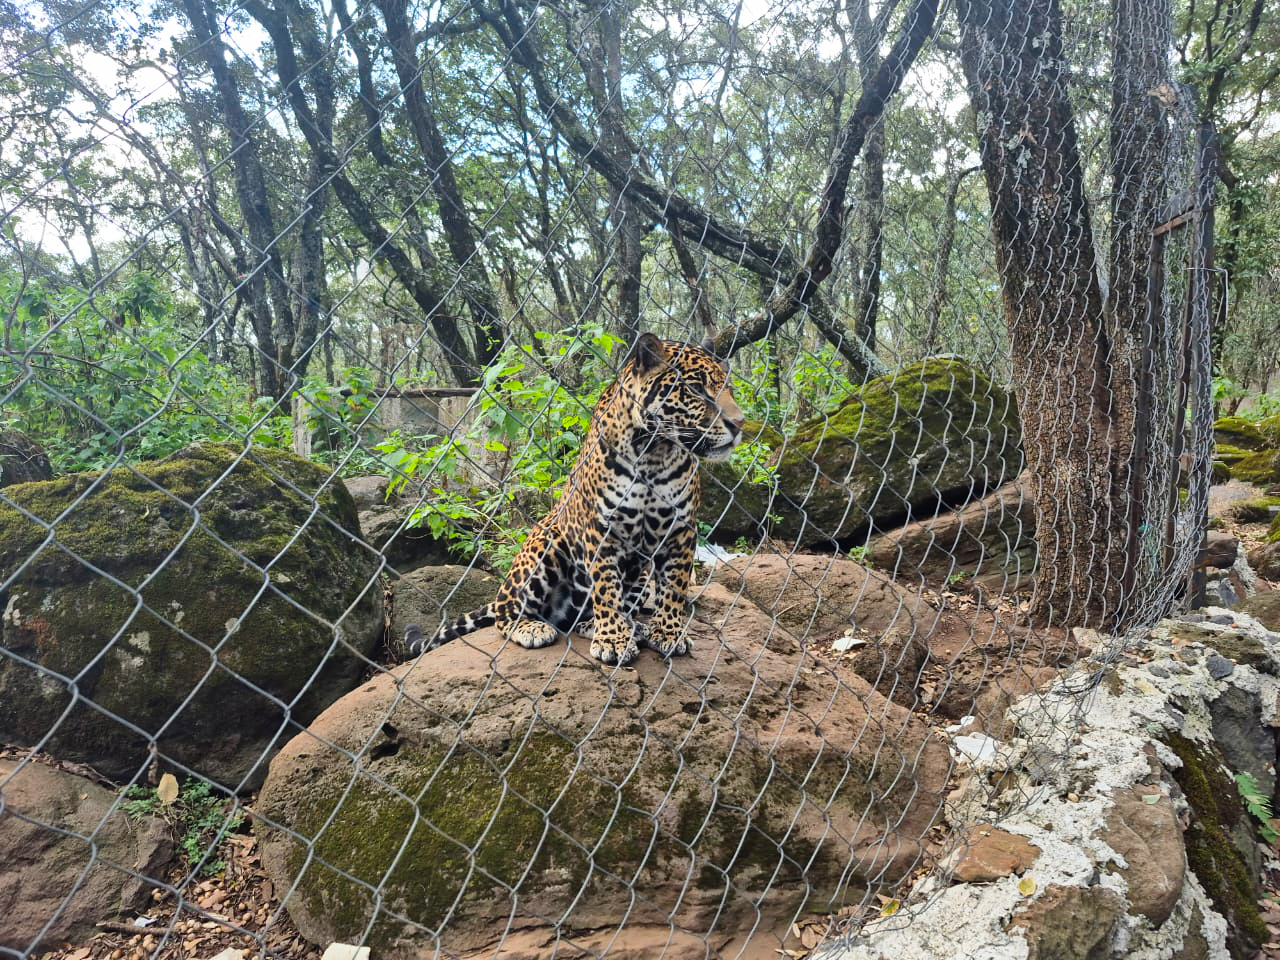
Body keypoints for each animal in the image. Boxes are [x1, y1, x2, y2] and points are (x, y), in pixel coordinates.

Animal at [410, 332, 745, 666]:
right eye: (696, 388)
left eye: (728, 388)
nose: (740, 423)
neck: (655, 452)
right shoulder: (601, 530)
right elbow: (606, 589)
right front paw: (613, 641)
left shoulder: (680, 530)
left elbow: (675, 587)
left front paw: (669, 633)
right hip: (546, 543)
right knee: (509, 612)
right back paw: (535, 628)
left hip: (636, 575)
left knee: (583, 618)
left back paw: (628, 628)